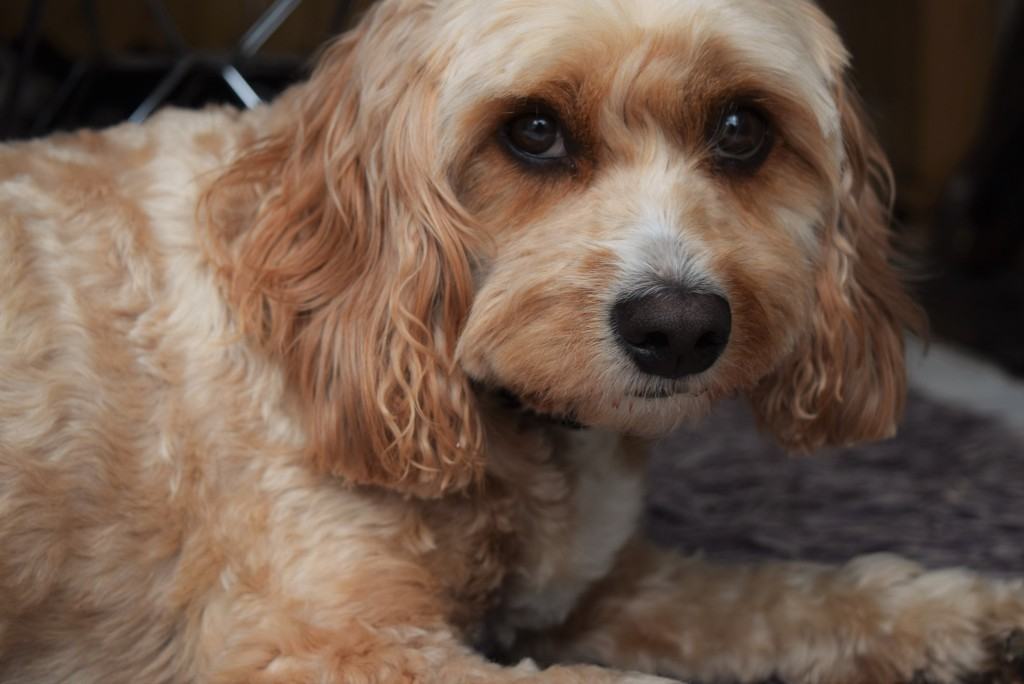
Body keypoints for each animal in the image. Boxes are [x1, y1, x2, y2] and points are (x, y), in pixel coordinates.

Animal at [2, 1, 1024, 684]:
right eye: (532, 130)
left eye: (742, 128)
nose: (680, 328)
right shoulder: (324, 645)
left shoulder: (606, 591)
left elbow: (786, 595)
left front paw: (978, 617)